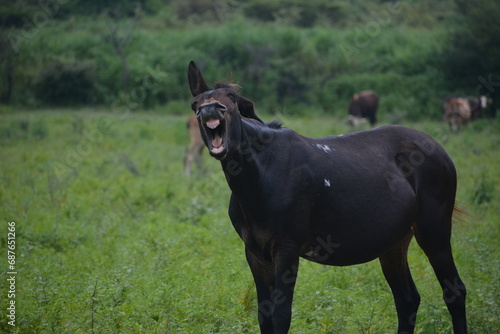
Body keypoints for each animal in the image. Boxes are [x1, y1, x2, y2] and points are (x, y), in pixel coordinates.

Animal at [188, 61, 468, 332]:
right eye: (196, 103)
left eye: (232, 98)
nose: (211, 110)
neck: (261, 176)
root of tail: (439, 149)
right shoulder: (256, 254)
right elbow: (264, 317)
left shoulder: (286, 249)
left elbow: (281, 316)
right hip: (394, 243)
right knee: (407, 299)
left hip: (434, 232)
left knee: (454, 292)